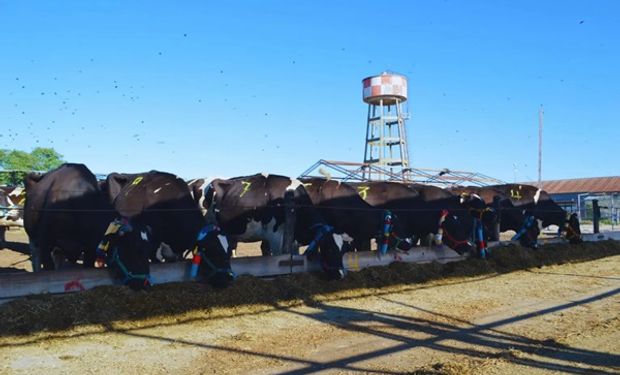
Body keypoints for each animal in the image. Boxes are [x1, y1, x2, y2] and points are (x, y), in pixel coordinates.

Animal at [205, 173, 346, 280]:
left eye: (342, 250)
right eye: (330, 249)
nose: (340, 275)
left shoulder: (292, 240)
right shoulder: (276, 237)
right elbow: (279, 258)